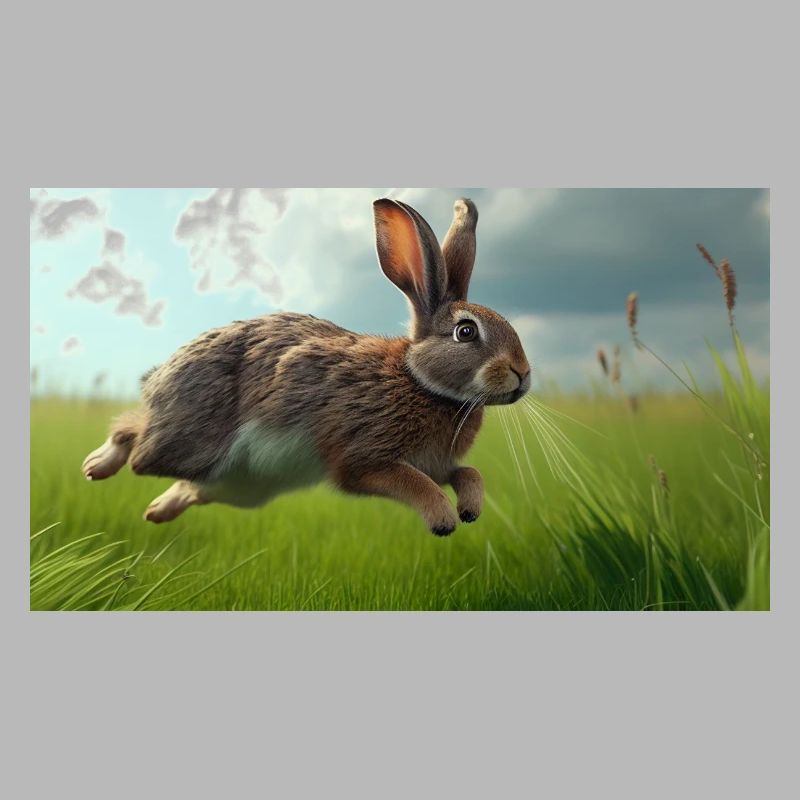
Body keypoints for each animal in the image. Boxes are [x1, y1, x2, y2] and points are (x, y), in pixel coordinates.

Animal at [81, 197, 531, 535]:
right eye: (466, 332)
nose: (523, 374)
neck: (420, 380)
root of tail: (160, 376)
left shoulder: (438, 464)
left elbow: (468, 473)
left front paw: (470, 509)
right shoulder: (363, 458)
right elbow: (412, 482)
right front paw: (443, 518)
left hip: (240, 488)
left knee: (191, 487)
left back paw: (157, 511)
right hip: (190, 442)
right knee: (136, 440)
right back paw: (97, 465)